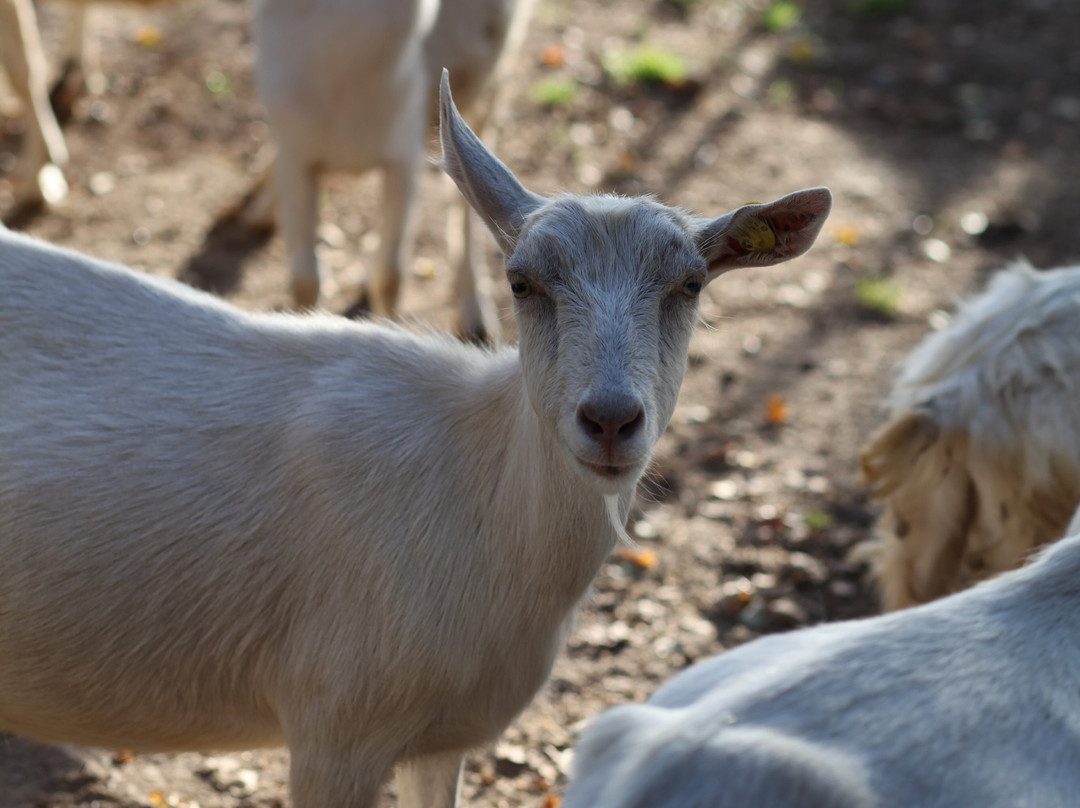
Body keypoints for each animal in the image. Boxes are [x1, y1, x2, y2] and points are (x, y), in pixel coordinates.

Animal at [240, 0, 535, 337]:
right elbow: (304, 281)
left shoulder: (403, 158)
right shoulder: (297, 157)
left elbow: (390, 276)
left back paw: (476, 318)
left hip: (487, 78)